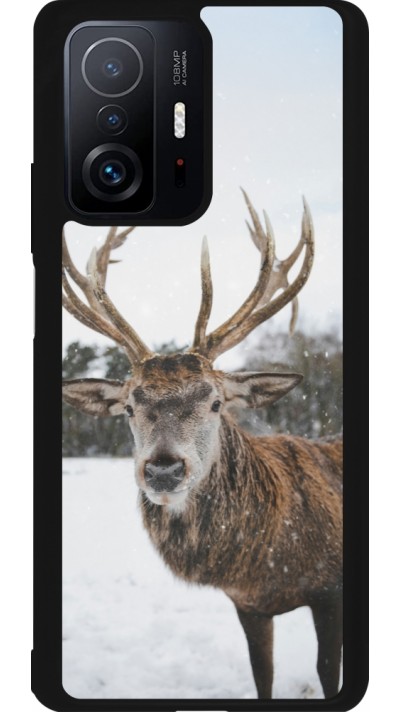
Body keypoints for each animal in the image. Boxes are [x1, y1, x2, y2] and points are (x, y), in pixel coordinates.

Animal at [62, 191, 342, 699]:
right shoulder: (248, 604)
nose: (163, 469)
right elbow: (263, 676)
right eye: (129, 406)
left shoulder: (331, 589)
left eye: (215, 402)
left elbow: (328, 673)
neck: (268, 563)